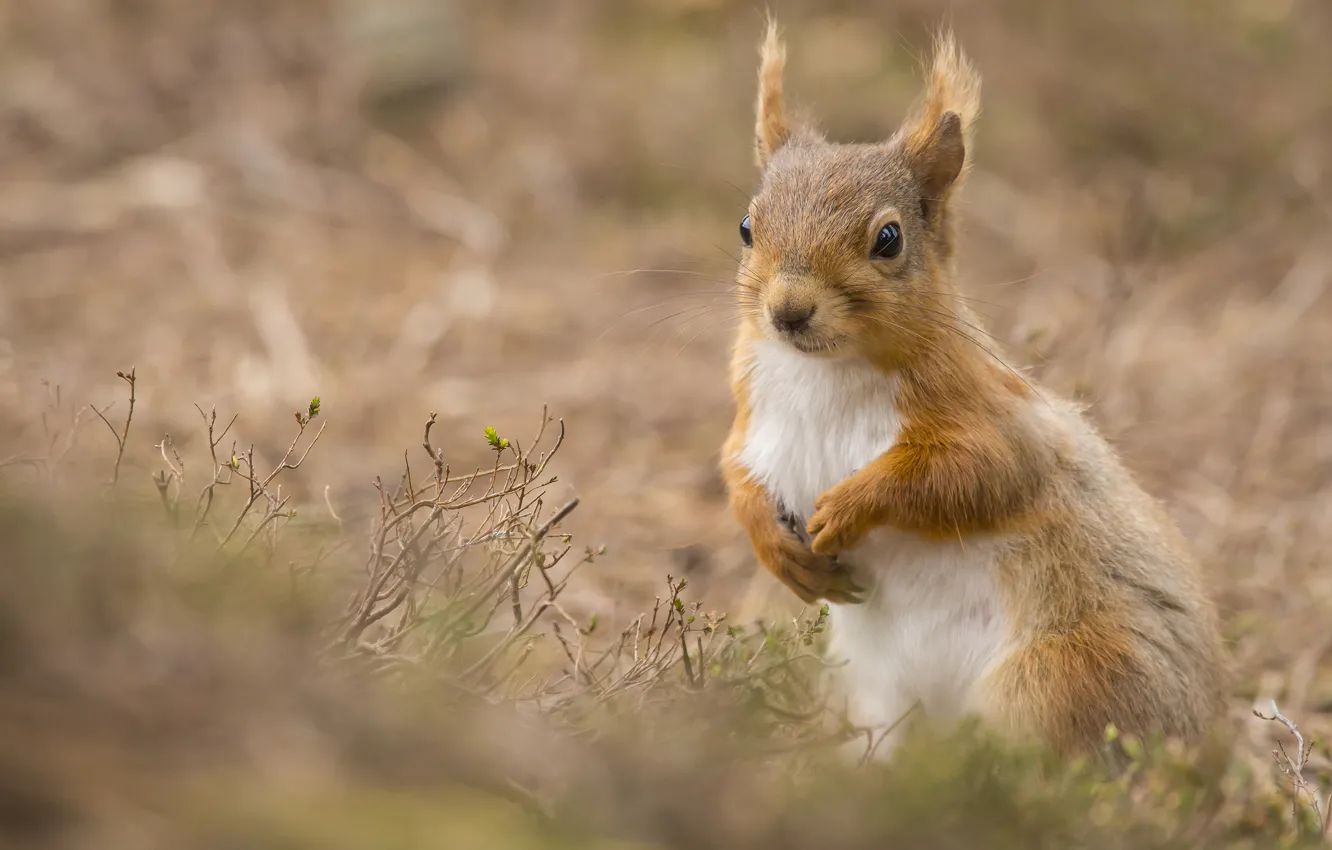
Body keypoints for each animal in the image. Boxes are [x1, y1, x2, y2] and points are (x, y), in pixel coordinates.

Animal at [719, 21, 1225, 756]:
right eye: (746, 227)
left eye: (889, 238)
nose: (788, 312)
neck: (826, 375)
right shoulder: (755, 422)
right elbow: (735, 476)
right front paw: (777, 549)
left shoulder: (998, 420)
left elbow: (976, 473)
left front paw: (847, 506)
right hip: (877, 697)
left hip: (1057, 678)